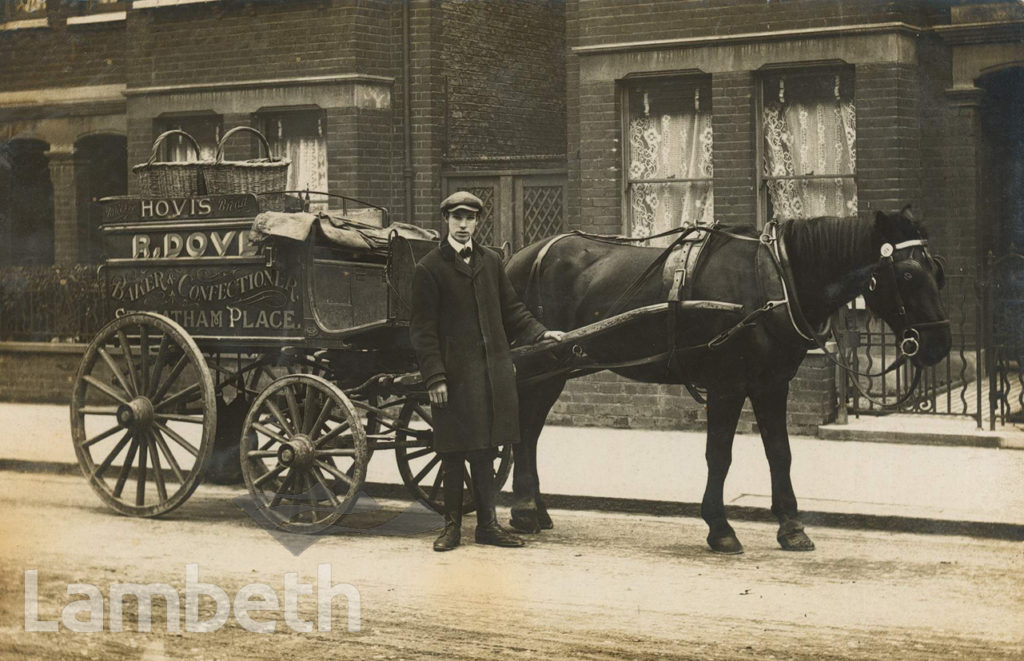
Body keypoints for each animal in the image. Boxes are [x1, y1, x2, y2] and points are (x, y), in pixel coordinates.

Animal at [503, 206, 950, 552]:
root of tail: (517, 258)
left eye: (937, 270)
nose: (940, 343)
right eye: (908, 275)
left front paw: (791, 527)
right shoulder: (727, 384)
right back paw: (524, 510)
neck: (774, 281)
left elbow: (780, 453)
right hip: (541, 368)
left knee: (530, 430)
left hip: (557, 366)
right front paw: (720, 528)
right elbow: (719, 455)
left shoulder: (772, 383)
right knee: (525, 429)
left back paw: (535, 510)